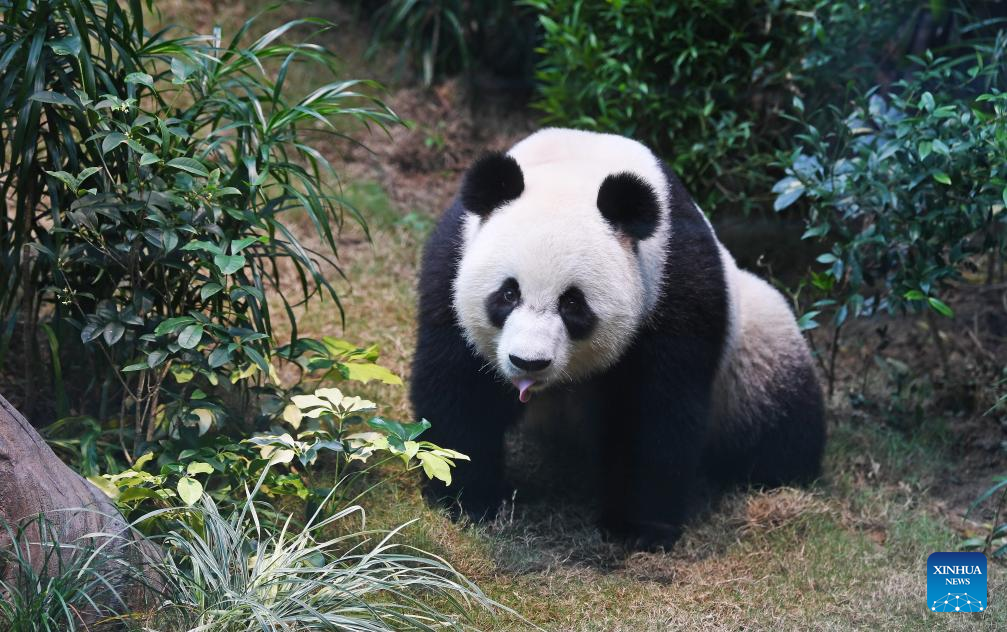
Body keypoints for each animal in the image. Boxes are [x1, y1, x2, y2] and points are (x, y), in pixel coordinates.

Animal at [408, 128, 825, 547]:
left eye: (572, 303)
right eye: (508, 294)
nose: (528, 362)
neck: (578, 165)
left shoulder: (675, 287)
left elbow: (651, 414)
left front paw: (638, 527)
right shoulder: (452, 264)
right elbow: (461, 390)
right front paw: (467, 499)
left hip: (753, 347)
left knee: (777, 417)